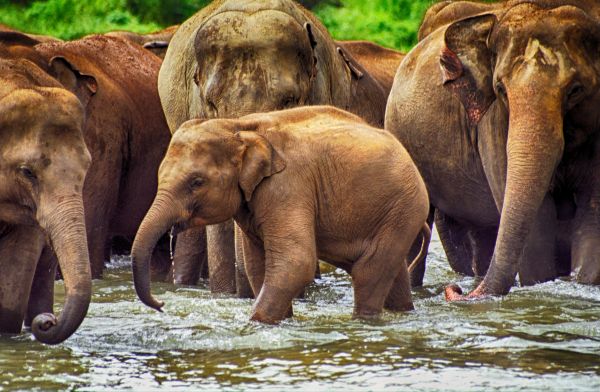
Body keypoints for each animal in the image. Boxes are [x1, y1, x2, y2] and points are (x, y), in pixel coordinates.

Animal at [133, 105, 428, 324]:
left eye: (196, 182)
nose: (162, 303)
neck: (238, 126)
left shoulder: (287, 187)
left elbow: (296, 261)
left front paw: (255, 323)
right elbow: (257, 264)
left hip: (403, 208)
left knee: (369, 272)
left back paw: (363, 321)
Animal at [386, 0, 600, 300]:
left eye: (576, 90)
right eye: (500, 89)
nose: (455, 290)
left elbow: (592, 217)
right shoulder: (493, 122)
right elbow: (539, 227)